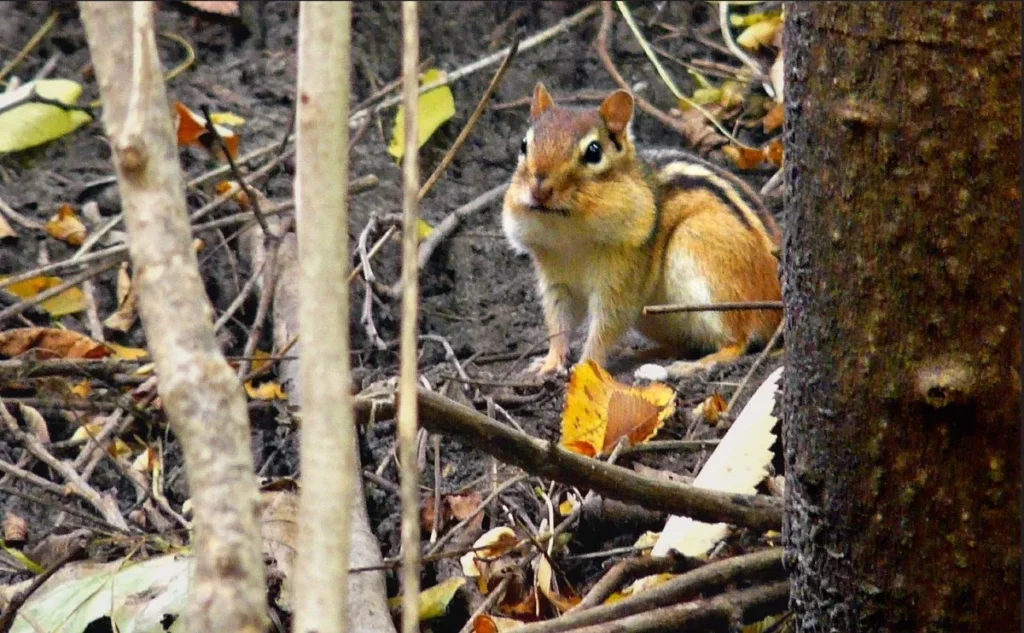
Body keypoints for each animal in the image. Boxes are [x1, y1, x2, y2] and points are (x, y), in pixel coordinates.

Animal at [501, 82, 782, 378]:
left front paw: (587, 365)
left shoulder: (622, 276)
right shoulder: (555, 279)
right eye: (524, 145)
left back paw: (695, 364)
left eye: (593, 152)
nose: (540, 189)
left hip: (701, 253)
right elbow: (558, 324)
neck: (570, 235)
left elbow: (607, 324)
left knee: (739, 338)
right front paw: (550, 362)